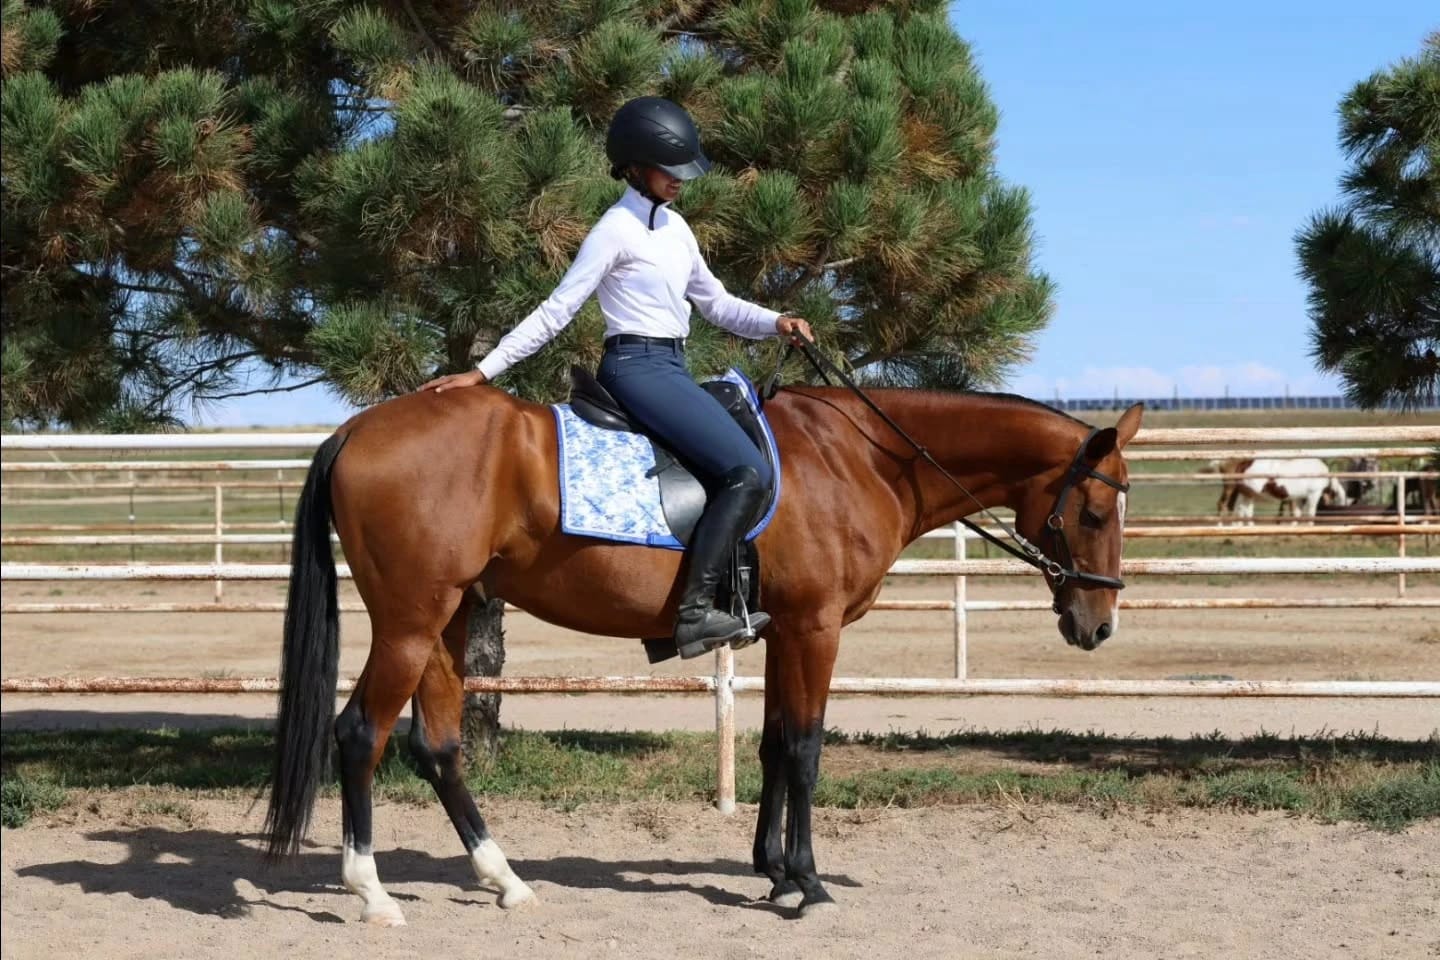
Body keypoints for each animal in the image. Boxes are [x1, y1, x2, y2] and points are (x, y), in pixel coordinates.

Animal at [262, 378, 1144, 923]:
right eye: (1095, 510)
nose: (1098, 623)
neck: (857, 457)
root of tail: (357, 428)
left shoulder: (785, 632)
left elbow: (772, 745)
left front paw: (772, 870)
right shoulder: (816, 628)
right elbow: (806, 749)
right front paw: (808, 883)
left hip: (446, 623)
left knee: (438, 746)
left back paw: (504, 880)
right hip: (410, 623)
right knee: (359, 736)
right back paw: (372, 894)